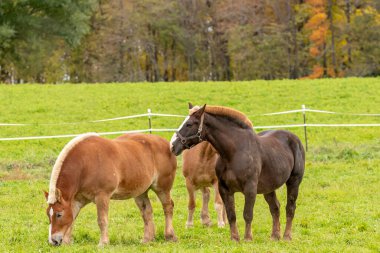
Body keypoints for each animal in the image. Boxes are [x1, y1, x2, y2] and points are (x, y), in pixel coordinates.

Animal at [43, 132, 177, 245]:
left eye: (59, 214)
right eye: (48, 214)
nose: (53, 241)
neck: (85, 164)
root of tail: (168, 144)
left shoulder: (102, 196)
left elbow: (102, 220)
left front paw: (103, 243)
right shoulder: (77, 200)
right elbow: (72, 219)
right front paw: (66, 242)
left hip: (162, 188)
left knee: (168, 207)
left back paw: (170, 236)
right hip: (141, 192)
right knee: (147, 211)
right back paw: (147, 239)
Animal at [172, 104, 306, 241]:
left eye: (189, 124)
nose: (172, 145)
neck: (235, 152)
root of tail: (294, 138)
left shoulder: (250, 189)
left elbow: (247, 214)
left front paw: (247, 238)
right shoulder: (224, 189)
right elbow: (231, 214)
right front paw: (235, 238)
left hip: (294, 182)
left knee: (290, 208)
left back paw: (287, 236)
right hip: (269, 188)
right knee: (275, 208)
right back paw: (275, 236)